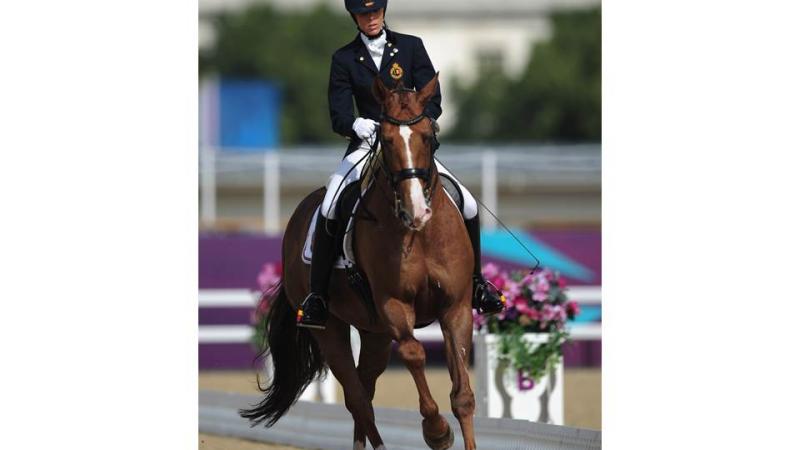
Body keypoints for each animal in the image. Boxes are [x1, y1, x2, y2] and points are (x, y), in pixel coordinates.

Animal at [238, 75, 476, 450]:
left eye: (428, 135)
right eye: (387, 140)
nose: (416, 211)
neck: (420, 235)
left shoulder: (456, 307)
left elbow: (462, 394)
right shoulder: (394, 306)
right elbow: (414, 353)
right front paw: (437, 431)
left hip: (373, 332)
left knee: (366, 388)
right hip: (332, 330)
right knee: (358, 399)